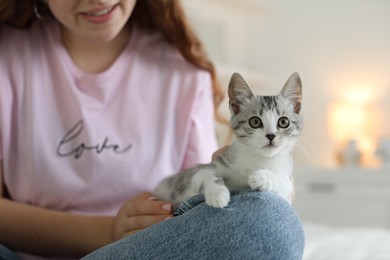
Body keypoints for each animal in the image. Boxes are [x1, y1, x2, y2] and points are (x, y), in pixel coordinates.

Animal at [154, 71, 304, 209]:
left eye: (283, 122)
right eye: (255, 122)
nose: (271, 135)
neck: (258, 160)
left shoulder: (287, 185)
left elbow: (285, 186)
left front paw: (264, 177)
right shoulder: (205, 168)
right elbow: (207, 173)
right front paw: (218, 193)